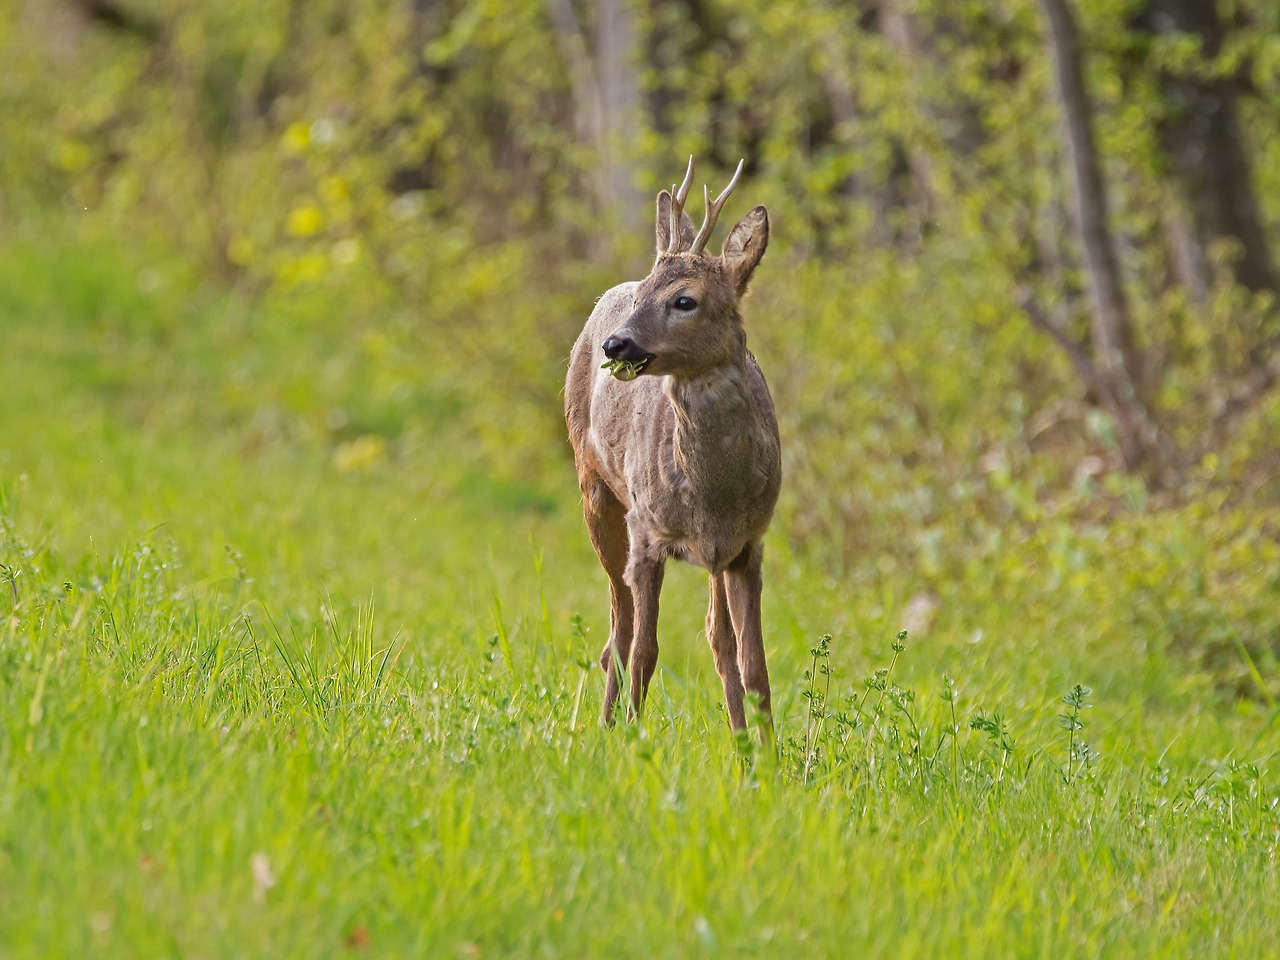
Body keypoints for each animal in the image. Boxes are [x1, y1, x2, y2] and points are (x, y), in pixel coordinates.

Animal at [564, 157, 781, 743]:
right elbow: (645, 650)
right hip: (595, 488)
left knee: (715, 638)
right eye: (643, 297)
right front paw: (633, 741)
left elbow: (752, 664)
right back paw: (603, 728)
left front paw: (767, 754)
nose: (616, 344)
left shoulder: (747, 545)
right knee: (616, 632)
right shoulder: (647, 533)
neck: (713, 493)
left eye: (685, 300)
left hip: (713, 558)